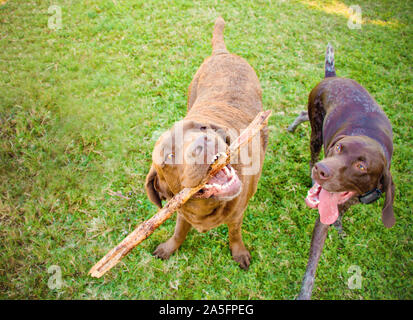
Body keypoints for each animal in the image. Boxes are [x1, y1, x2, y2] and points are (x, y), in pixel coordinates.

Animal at [145, 17, 268, 270]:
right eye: (169, 155)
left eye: (202, 128)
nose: (204, 143)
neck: (204, 207)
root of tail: (222, 52)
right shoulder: (182, 213)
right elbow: (179, 230)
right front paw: (170, 247)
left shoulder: (237, 214)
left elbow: (235, 233)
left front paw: (239, 252)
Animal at [288, 43, 394, 298]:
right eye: (338, 147)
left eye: (361, 166)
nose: (321, 171)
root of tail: (332, 76)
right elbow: (311, 268)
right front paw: (304, 293)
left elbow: (338, 214)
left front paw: (338, 224)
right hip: (317, 132)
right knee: (312, 143)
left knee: (303, 114)